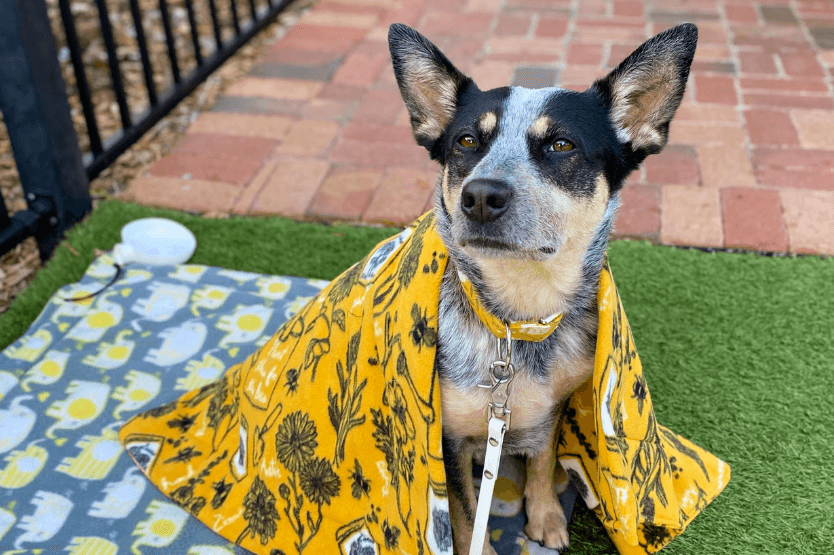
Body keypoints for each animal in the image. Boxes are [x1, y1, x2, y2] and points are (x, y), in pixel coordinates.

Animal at [386, 20, 700, 552]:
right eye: (466, 141)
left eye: (561, 145)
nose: (481, 195)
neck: (518, 323)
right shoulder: (449, 438)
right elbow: (465, 509)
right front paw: (481, 543)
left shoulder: (552, 406)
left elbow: (543, 459)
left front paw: (547, 516)